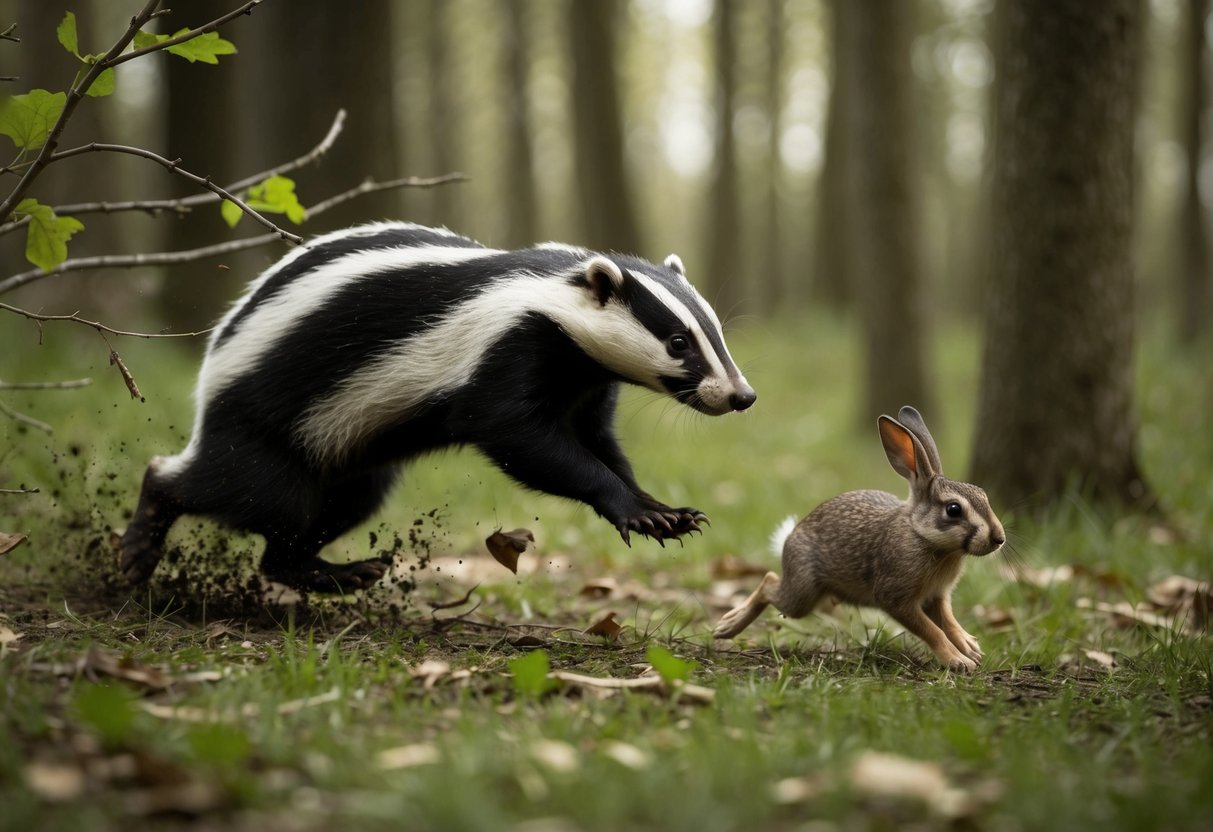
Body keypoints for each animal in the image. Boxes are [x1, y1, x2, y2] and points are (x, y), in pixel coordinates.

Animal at [714, 405, 1005, 671]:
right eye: (953, 509)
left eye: (983, 494)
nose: (999, 538)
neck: (922, 536)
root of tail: (791, 536)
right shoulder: (895, 598)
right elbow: (931, 630)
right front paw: (958, 661)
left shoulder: (936, 596)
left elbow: (949, 622)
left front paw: (970, 647)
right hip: (804, 592)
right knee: (769, 582)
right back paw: (726, 626)